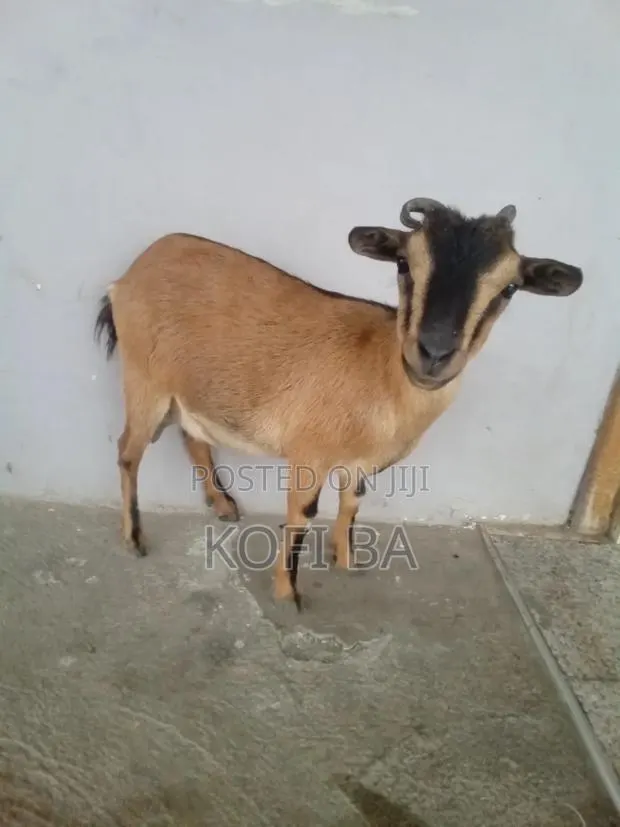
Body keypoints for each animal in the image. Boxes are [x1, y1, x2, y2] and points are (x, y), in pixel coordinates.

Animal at [95, 197, 583, 608]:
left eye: (510, 288)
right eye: (404, 263)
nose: (434, 354)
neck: (381, 374)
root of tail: (127, 277)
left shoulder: (359, 464)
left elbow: (352, 503)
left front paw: (347, 562)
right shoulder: (309, 454)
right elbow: (302, 513)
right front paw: (288, 595)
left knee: (192, 436)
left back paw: (225, 506)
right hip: (143, 381)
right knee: (128, 452)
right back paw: (134, 540)